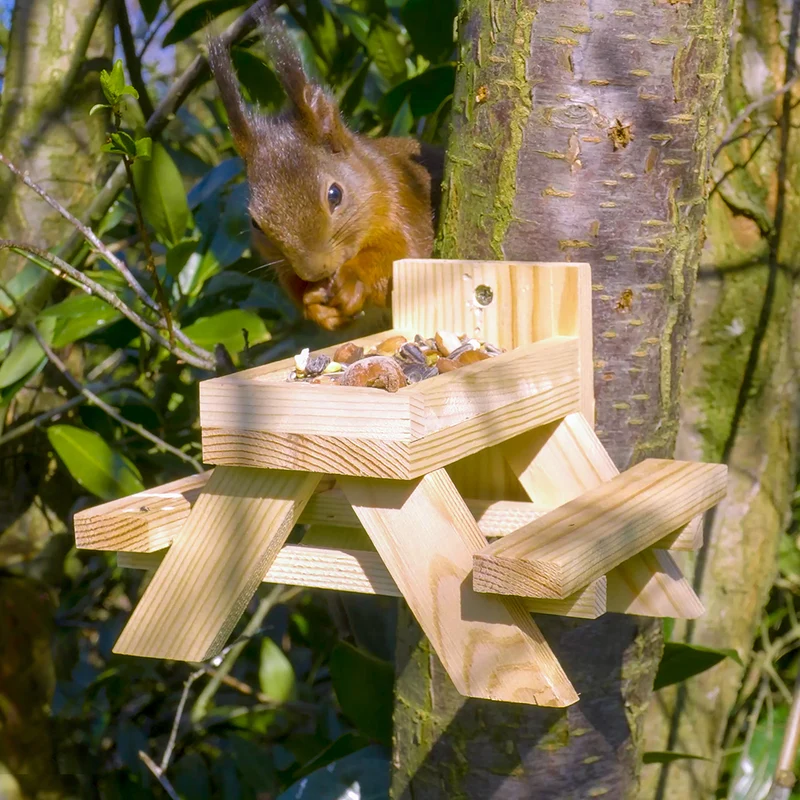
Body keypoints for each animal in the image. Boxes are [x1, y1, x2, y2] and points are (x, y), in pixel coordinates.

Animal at [207, 14, 443, 331]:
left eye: (335, 194)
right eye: (256, 223)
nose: (316, 270)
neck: (371, 175)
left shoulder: (404, 199)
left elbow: (403, 254)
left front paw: (354, 279)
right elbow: (293, 286)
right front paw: (316, 304)